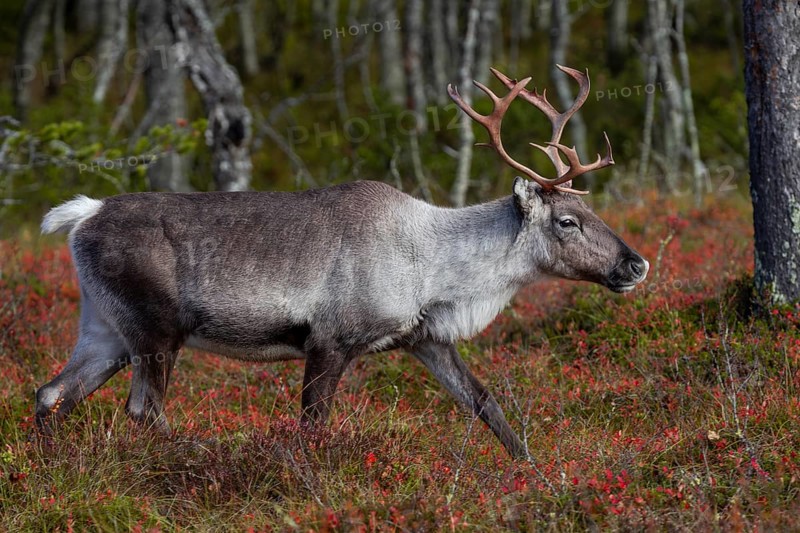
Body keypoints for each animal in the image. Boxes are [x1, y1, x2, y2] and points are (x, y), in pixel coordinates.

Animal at [35, 66, 648, 459]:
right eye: (567, 221)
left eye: (589, 209)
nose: (636, 265)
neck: (434, 266)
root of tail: (84, 214)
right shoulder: (329, 339)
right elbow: (313, 425)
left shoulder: (424, 337)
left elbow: (483, 402)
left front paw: (535, 471)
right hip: (156, 329)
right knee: (144, 410)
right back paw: (196, 455)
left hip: (105, 329)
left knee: (52, 393)